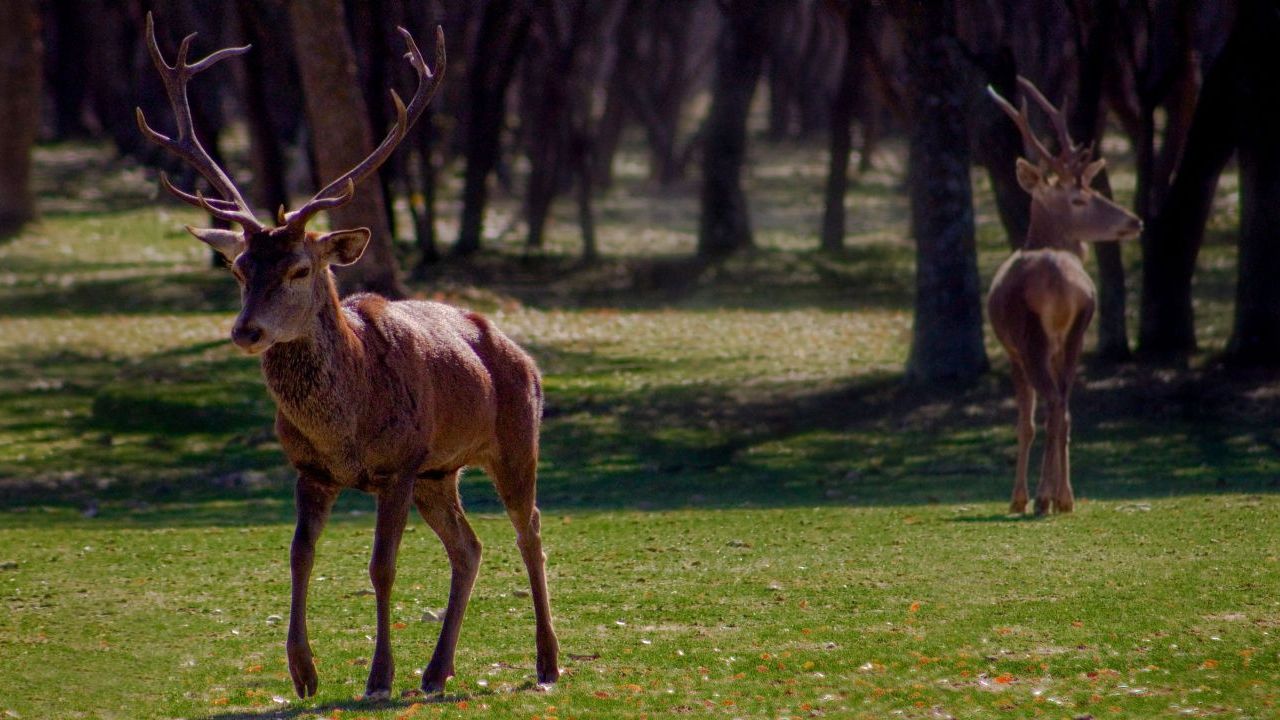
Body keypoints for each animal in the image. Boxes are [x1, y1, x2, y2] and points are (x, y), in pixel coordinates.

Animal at [136, 14, 559, 699]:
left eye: (300, 269)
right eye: (239, 267)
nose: (246, 330)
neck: (346, 431)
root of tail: (521, 353)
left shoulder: (399, 463)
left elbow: (381, 566)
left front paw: (378, 677)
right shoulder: (311, 470)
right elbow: (298, 556)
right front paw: (303, 672)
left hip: (514, 440)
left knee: (531, 533)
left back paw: (547, 663)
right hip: (441, 473)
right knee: (469, 547)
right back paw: (436, 672)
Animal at [985, 77, 1142, 516]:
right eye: (1080, 198)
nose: (1134, 221)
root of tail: (1063, 285)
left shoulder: (1012, 351)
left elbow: (1025, 421)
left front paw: (1019, 497)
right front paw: (1057, 493)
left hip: (1032, 338)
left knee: (1052, 405)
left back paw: (1040, 498)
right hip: (1075, 335)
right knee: (1066, 407)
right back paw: (1065, 497)